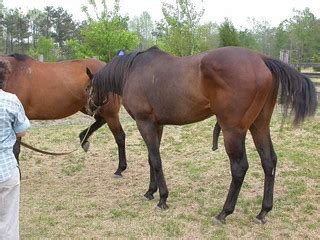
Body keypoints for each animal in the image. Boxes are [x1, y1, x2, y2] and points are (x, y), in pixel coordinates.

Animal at [87, 46, 318, 223]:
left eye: (89, 87)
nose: (91, 109)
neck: (133, 71)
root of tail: (262, 59)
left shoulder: (145, 123)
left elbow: (156, 160)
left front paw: (163, 198)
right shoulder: (156, 125)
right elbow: (152, 159)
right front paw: (151, 192)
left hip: (233, 131)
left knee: (239, 168)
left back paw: (224, 212)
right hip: (259, 126)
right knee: (269, 162)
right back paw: (263, 212)